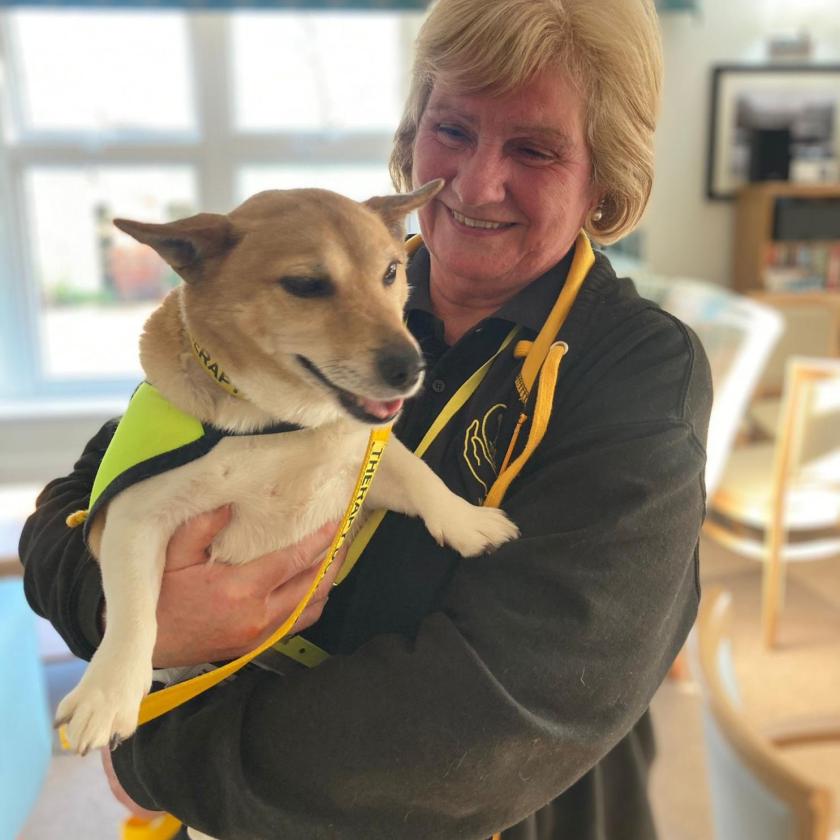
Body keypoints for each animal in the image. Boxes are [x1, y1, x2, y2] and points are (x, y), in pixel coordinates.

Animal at [55, 182, 520, 788]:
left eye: (391, 272)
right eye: (305, 285)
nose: (410, 367)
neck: (282, 424)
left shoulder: (360, 467)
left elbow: (420, 475)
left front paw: (467, 522)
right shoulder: (134, 517)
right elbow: (135, 611)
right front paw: (108, 694)